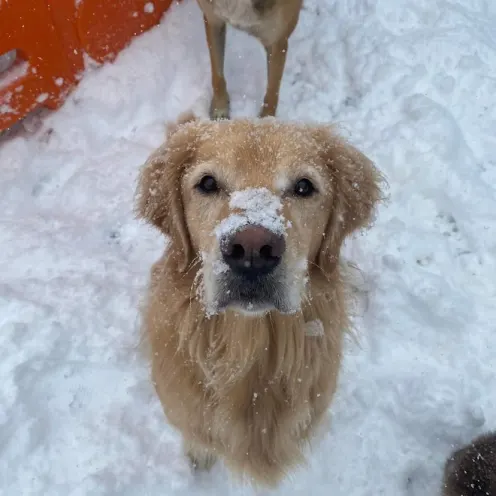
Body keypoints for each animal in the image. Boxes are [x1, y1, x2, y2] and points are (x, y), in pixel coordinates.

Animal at [138, 113, 382, 488]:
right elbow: (198, 438)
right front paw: (199, 457)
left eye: (303, 187)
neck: (250, 351)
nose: (252, 250)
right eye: (208, 183)